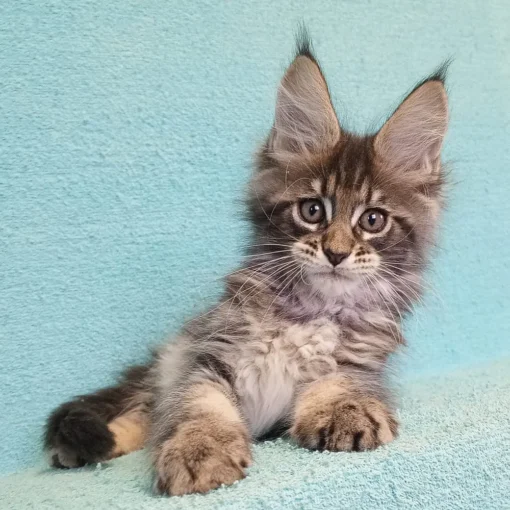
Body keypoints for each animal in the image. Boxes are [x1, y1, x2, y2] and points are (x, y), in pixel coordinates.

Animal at [45, 33, 448, 496]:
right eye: (312, 210)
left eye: (373, 220)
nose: (336, 252)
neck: (311, 311)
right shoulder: (210, 355)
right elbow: (197, 405)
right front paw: (199, 452)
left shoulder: (356, 362)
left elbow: (340, 385)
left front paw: (346, 412)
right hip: (173, 359)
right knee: (148, 407)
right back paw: (89, 446)